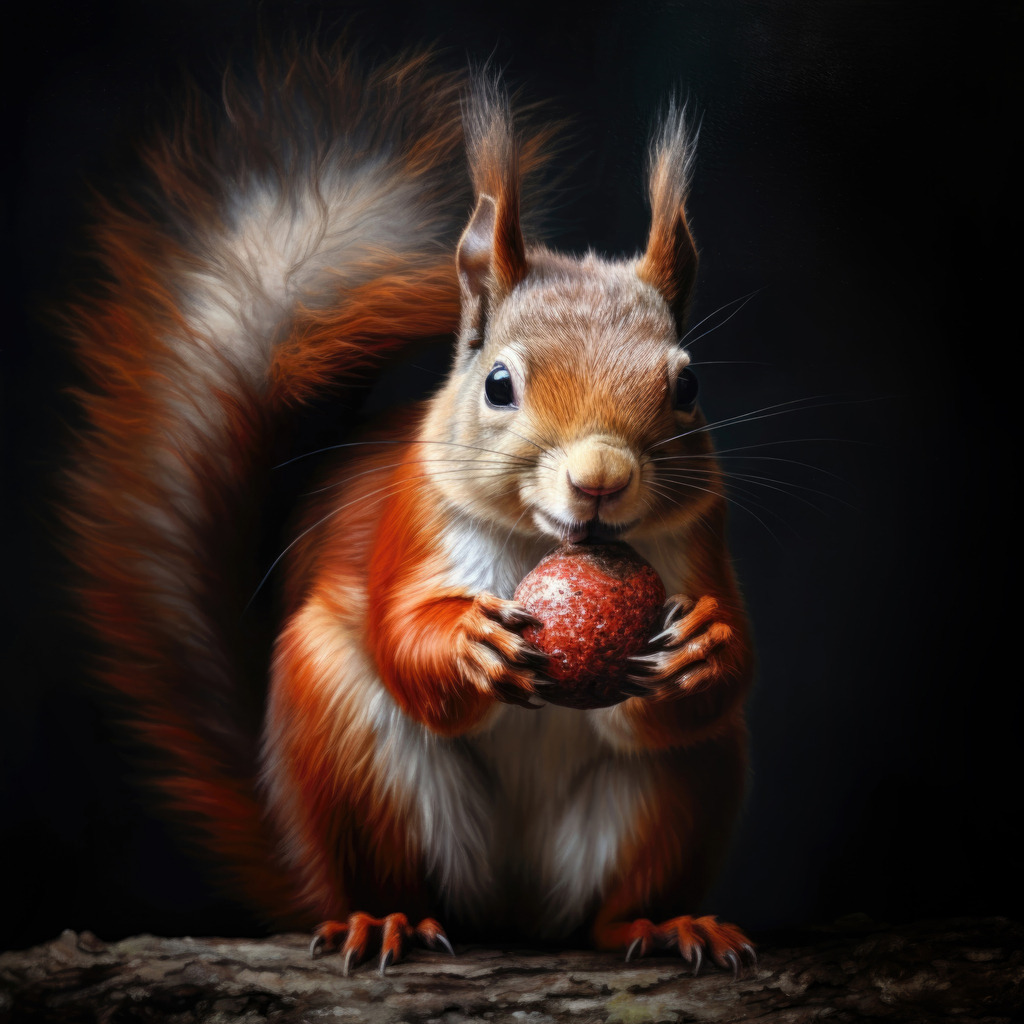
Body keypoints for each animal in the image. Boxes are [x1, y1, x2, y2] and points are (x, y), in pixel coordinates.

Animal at [62, 42, 755, 974]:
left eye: (688, 386)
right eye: (497, 383)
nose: (601, 478)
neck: (544, 545)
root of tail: (514, 911)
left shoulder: (699, 534)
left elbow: (724, 669)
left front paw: (705, 646)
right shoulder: (413, 520)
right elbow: (401, 637)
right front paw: (466, 641)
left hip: (678, 793)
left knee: (616, 899)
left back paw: (663, 924)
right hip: (352, 750)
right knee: (393, 874)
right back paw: (383, 918)